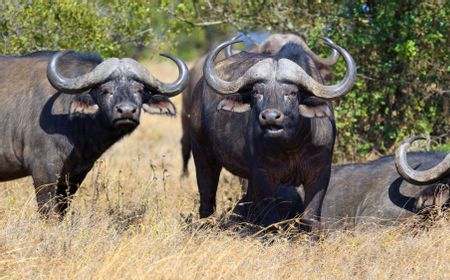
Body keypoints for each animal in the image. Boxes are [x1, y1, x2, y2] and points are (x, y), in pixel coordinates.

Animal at [0, 50, 188, 218]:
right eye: (105, 90)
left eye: (139, 90)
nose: (127, 111)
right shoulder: (43, 170)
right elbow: (48, 212)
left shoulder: (75, 175)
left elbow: (62, 211)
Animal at [185, 36, 356, 231]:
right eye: (256, 92)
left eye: (292, 93)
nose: (270, 117)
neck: (293, 145)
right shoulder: (262, 175)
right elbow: (271, 217)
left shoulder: (320, 172)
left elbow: (310, 216)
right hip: (203, 155)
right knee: (207, 197)